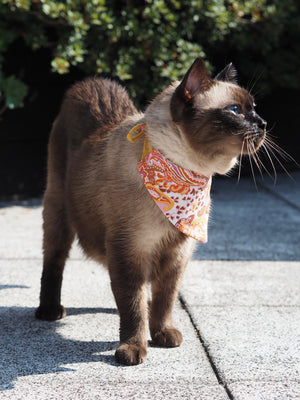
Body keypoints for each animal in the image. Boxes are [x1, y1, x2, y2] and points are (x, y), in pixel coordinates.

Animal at [35, 57, 268, 366]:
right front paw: (133, 349)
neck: (187, 173)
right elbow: (132, 307)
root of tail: (90, 82)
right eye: (235, 111)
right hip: (58, 209)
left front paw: (162, 334)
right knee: (54, 261)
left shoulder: (177, 254)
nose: (263, 124)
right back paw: (49, 310)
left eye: (253, 108)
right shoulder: (130, 250)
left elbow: (164, 300)